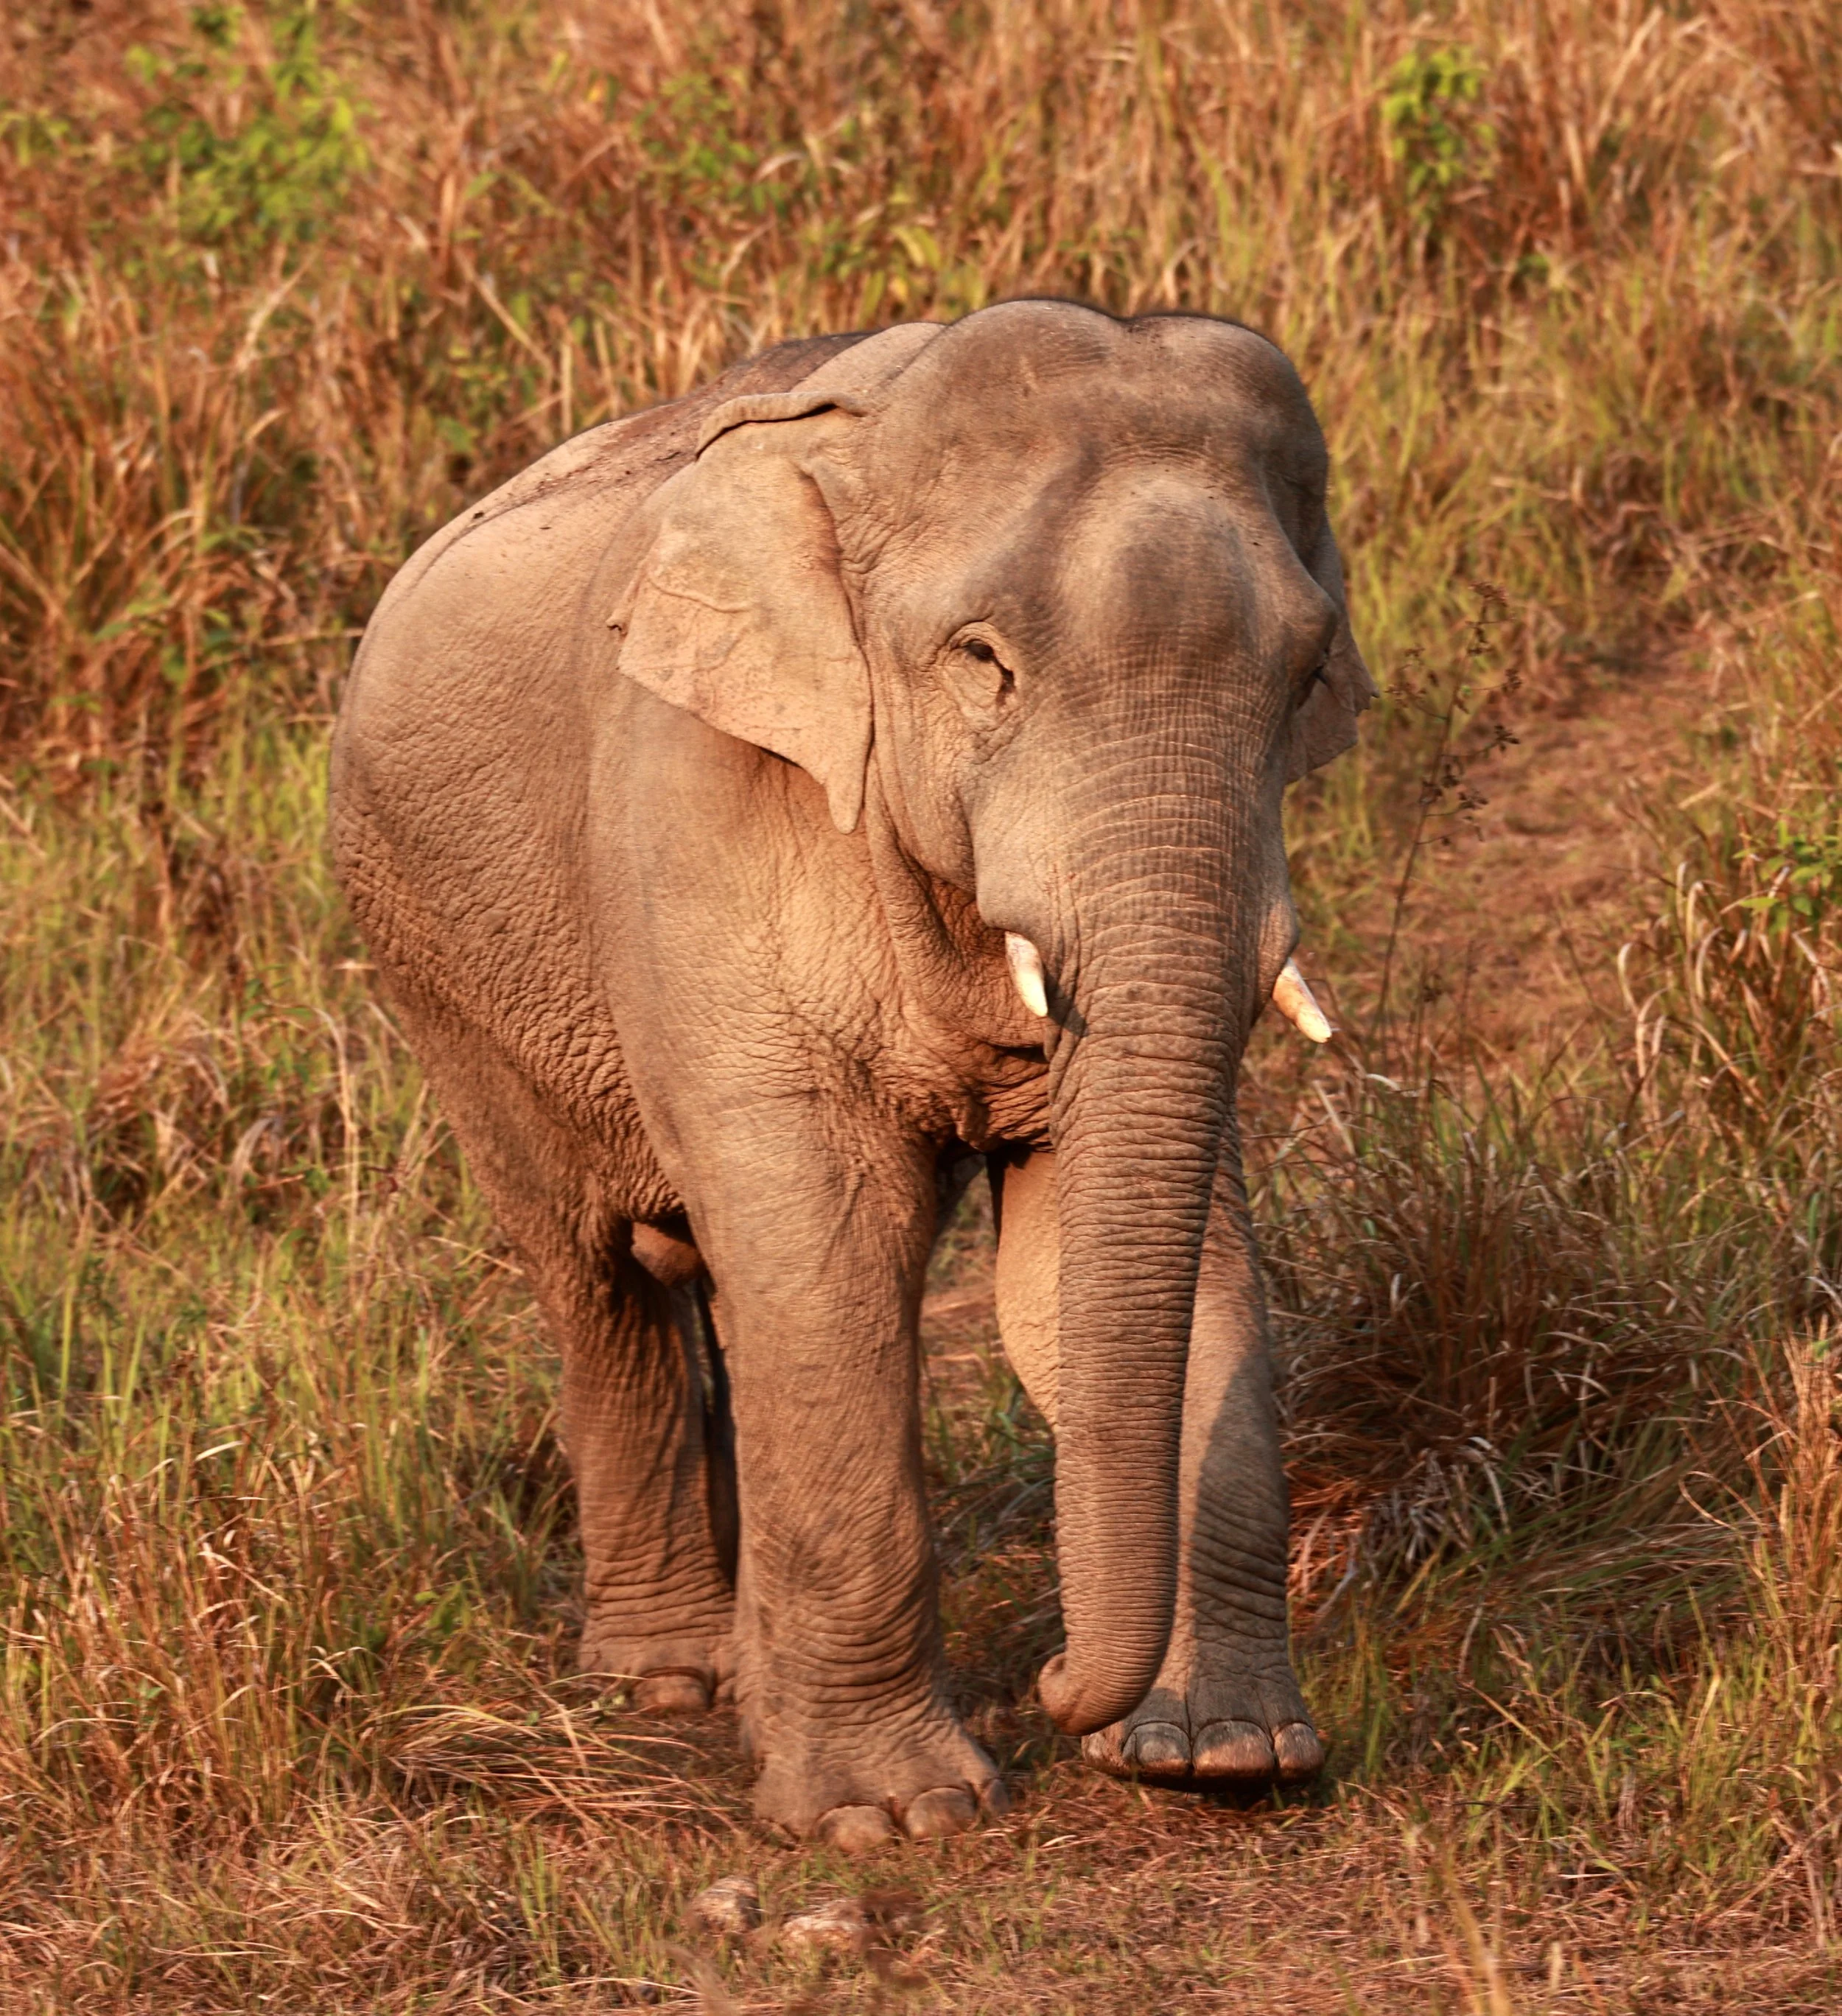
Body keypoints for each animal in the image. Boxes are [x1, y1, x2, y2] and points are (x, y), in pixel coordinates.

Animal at [330, 300, 1373, 1850]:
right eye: (984, 663)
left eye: (1307, 680)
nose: (1057, 1683)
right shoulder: (700, 808)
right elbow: (823, 1259)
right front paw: (892, 1819)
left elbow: (1089, 1269)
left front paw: (1225, 1759)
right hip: (433, 964)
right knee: (600, 1277)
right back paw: (671, 1682)